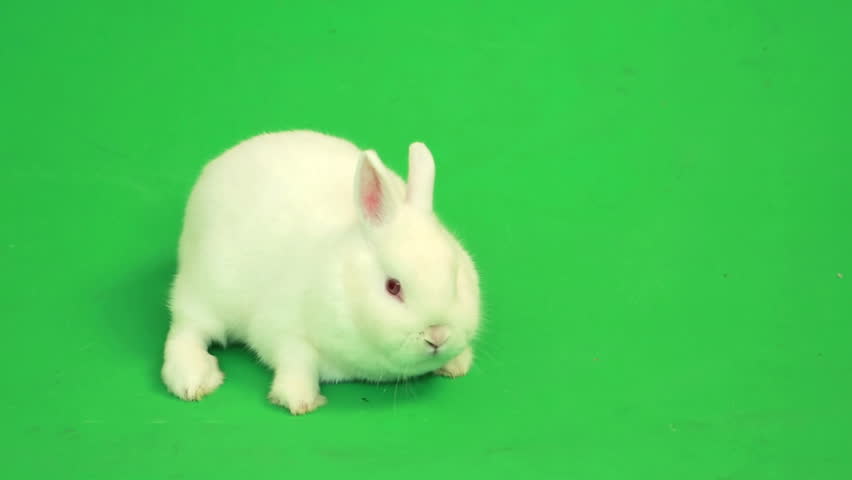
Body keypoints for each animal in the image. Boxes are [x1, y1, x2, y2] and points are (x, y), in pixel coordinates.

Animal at [161, 130, 481, 415]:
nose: (437, 335)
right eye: (393, 286)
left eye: (455, 279)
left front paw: (458, 365)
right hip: (203, 290)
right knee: (187, 330)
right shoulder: (282, 328)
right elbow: (295, 360)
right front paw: (300, 400)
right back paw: (194, 380)